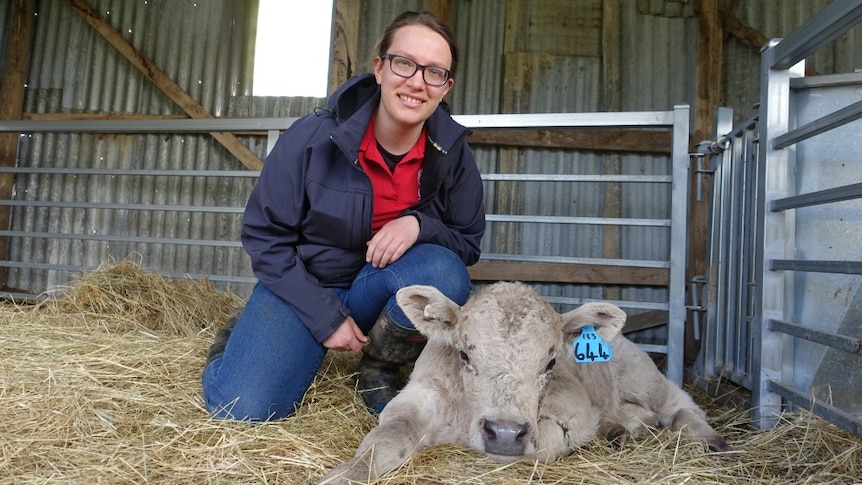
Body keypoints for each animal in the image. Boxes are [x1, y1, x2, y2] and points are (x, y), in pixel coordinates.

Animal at [322, 282, 728, 482]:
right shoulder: (419, 394)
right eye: (464, 354)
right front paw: (345, 475)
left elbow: (547, 441)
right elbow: (388, 437)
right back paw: (618, 431)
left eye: (550, 362)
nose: (503, 433)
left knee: (678, 403)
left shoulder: (571, 410)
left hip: (641, 376)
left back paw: (710, 438)